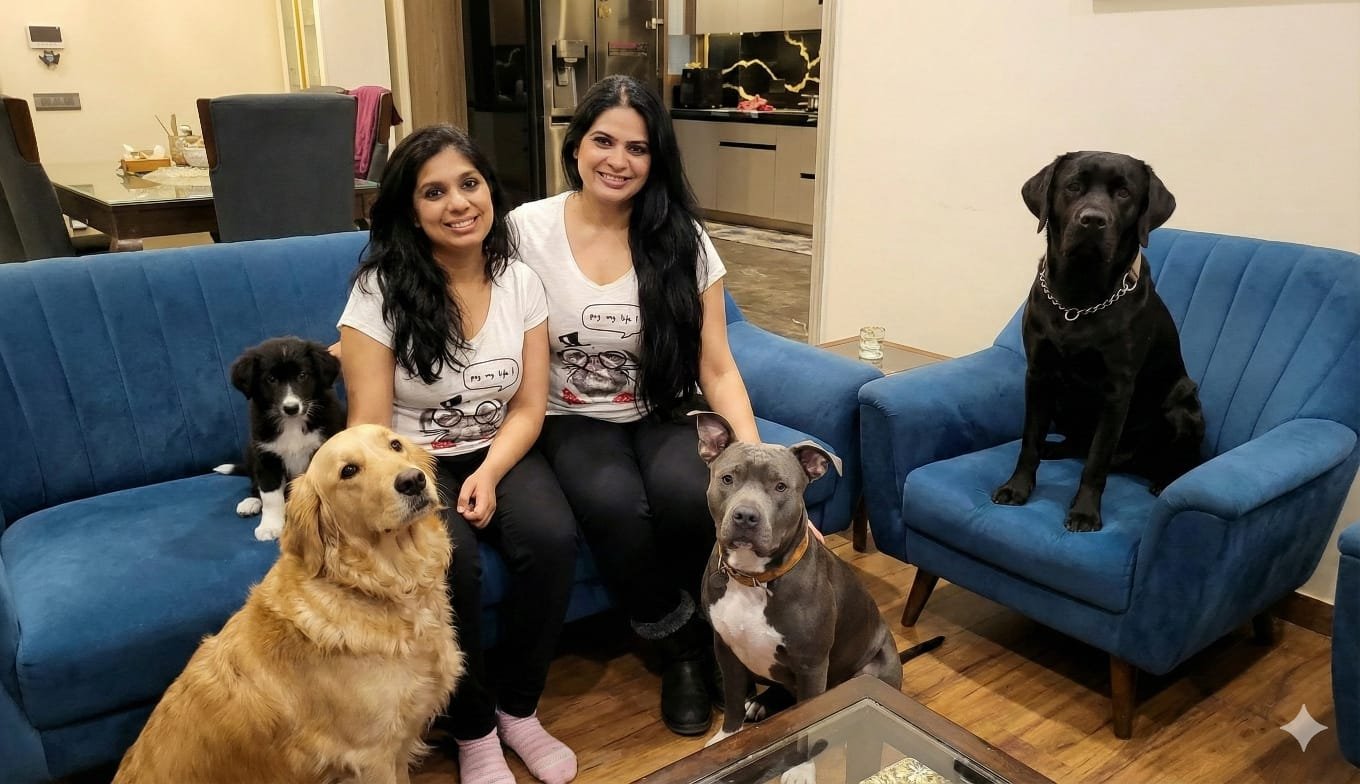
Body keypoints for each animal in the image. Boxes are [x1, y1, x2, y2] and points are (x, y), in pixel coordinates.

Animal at [215, 336, 345, 541]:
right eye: (271, 379)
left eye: (302, 375)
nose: (291, 408)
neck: (292, 424)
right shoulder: (267, 456)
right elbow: (270, 496)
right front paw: (270, 526)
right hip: (252, 452)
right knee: (256, 486)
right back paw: (250, 503)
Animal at [694, 412, 939, 784]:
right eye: (727, 479)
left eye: (781, 487)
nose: (746, 516)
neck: (754, 579)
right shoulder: (727, 648)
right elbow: (734, 699)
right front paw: (727, 738)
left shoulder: (811, 664)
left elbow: (809, 720)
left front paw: (800, 768)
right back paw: (762, 702)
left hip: (868, 671)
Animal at [992, 151, 1206, 532]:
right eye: (1073, 186)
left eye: (1124, 193)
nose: (1092, 220)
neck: (1079, 298)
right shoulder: (1039, 375)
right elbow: (1029, 440)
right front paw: (1017, 488)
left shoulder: (1117, 390)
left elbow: (1096, 461)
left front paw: (1085, 512)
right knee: (1077, 443)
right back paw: (1056, 448)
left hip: (1183, 405)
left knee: (1181, 457)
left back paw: (1164, 480)